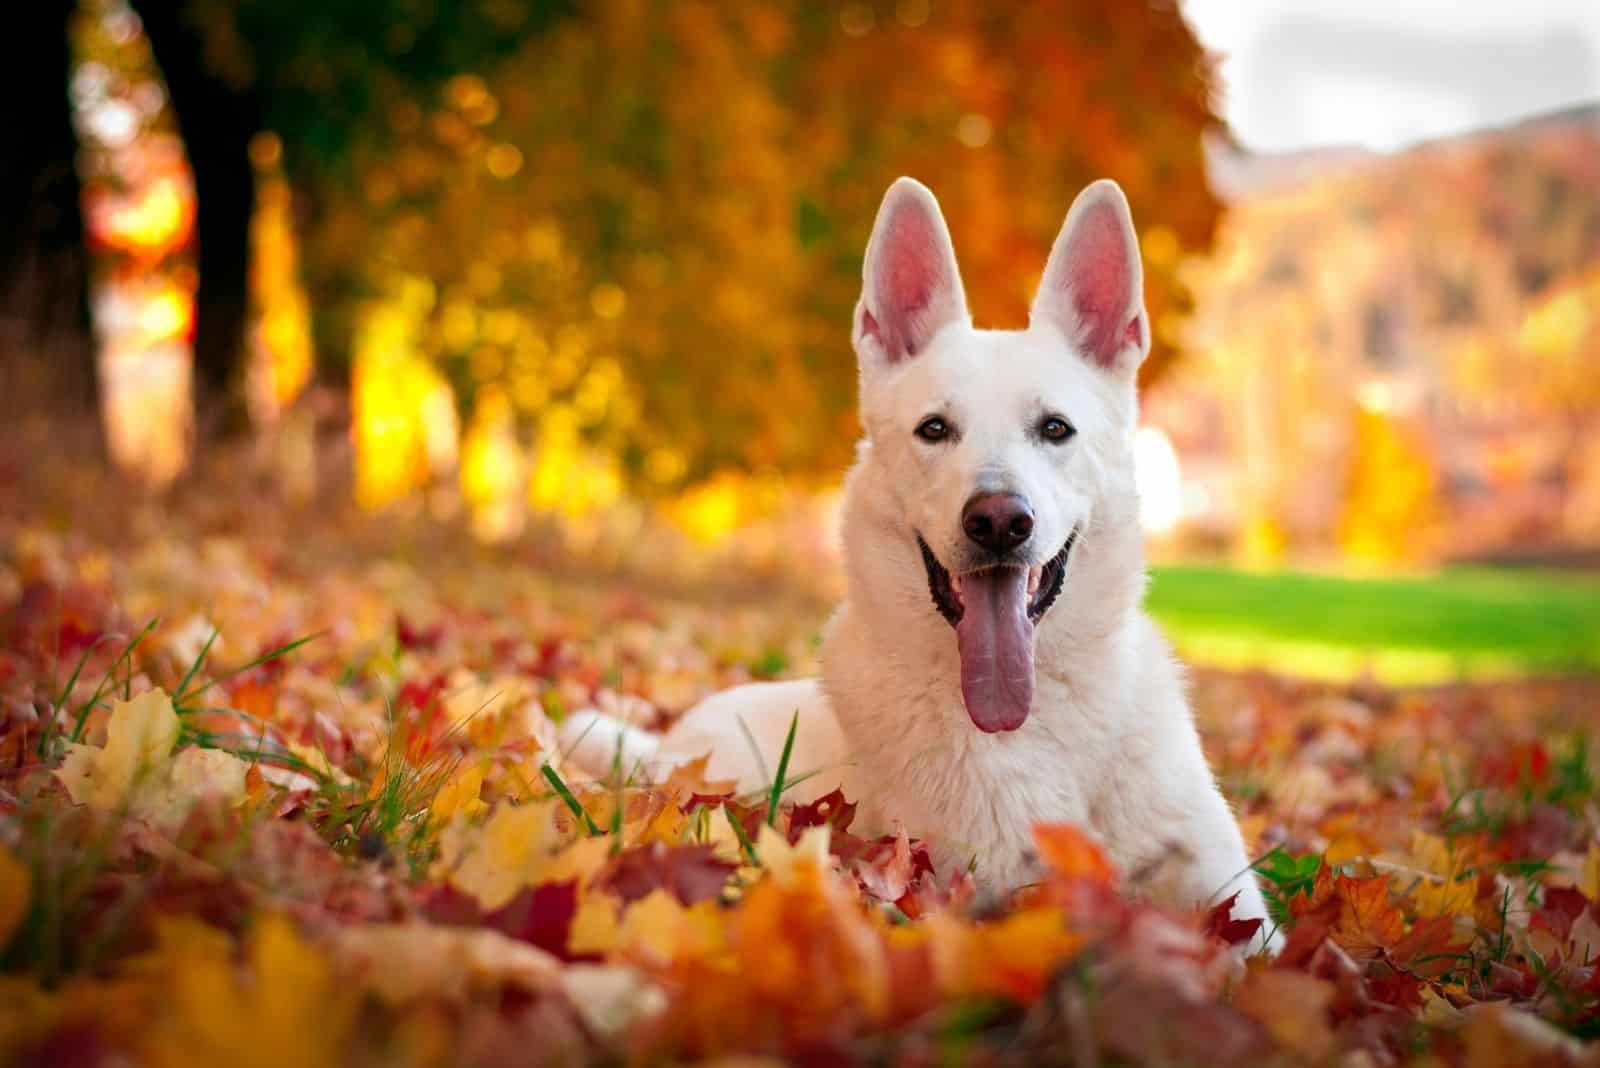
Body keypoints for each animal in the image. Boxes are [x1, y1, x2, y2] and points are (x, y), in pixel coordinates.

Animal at [563, 177, 1273, 952]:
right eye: (935, 429)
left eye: (1055, 428)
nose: (999, 522)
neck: (1024, 724)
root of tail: (672, 738)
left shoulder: (1234, 898)